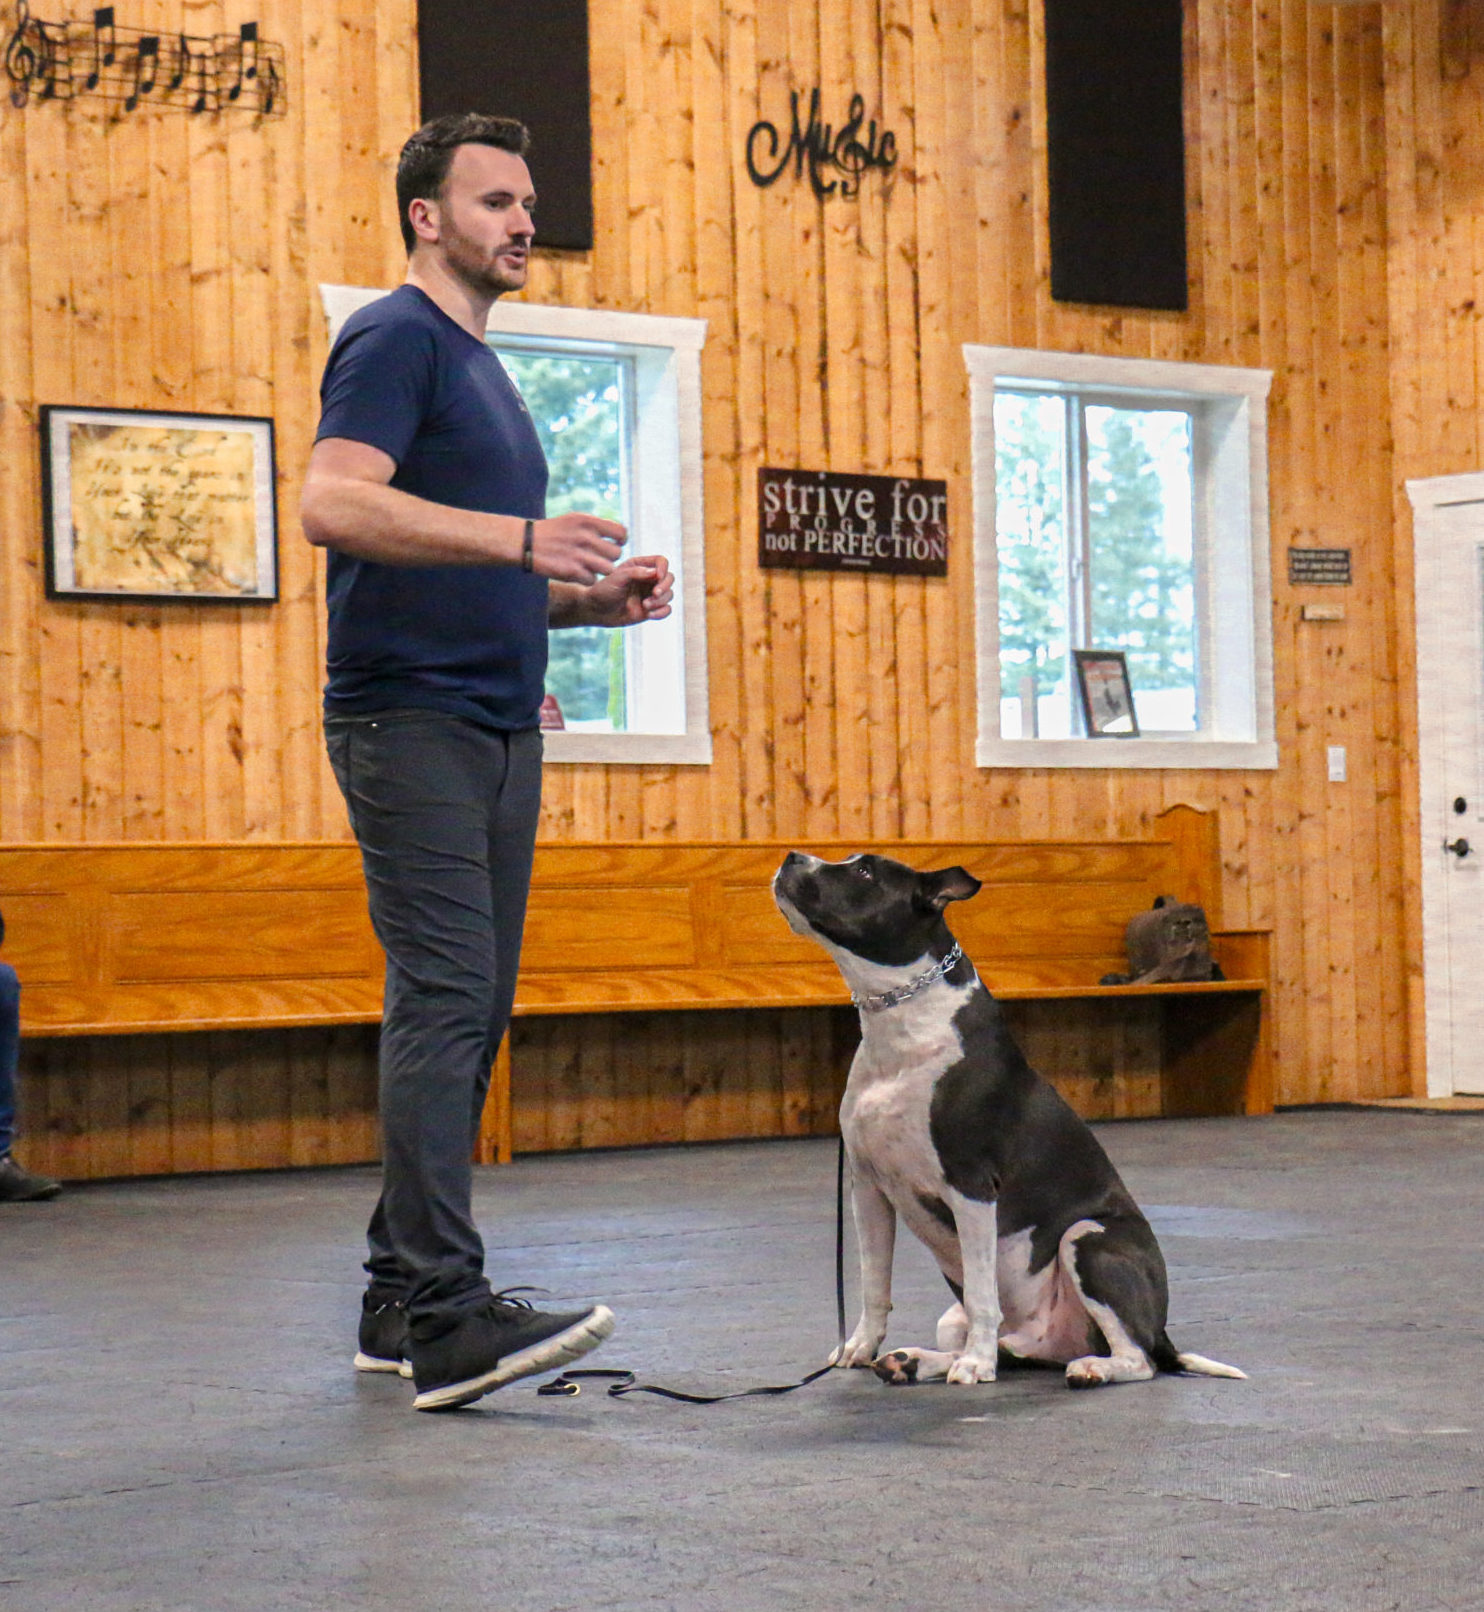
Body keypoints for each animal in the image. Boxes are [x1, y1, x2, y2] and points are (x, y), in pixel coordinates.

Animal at [772, 850, 1246, 1389]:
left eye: (865, 872)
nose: (792, 856)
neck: (901, 1021)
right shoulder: (869, 1188)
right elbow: (875, 1284)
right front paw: (860, 1346)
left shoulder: (972, 1187)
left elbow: (982, 1291)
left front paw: (975, 1365)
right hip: (962, 1318)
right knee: (1012, 1347)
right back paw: (912, 1360)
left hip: (1090, 1239)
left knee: (1137, 1358)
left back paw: (1089, 1368)